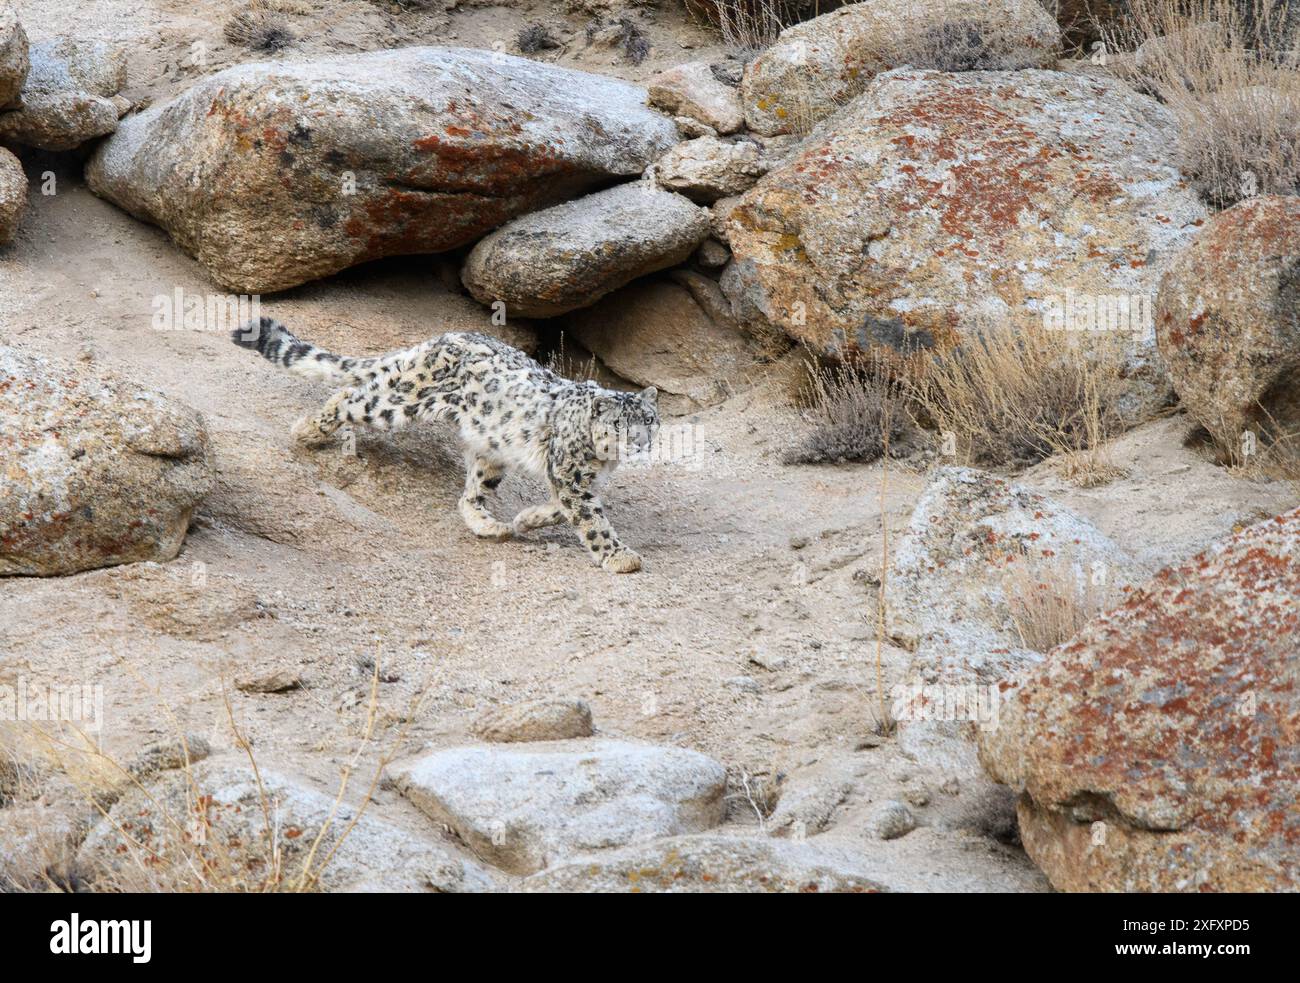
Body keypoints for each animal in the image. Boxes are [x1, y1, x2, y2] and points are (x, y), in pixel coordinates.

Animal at [231, 318, 660, 572]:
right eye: (619, 425)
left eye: (649, 421)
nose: (640, 443)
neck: (603, 462)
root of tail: (443, 337)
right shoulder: (571, 474)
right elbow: (590, 516)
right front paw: (619, 556)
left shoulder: (578, 478)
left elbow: (563, 508)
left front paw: (527, 519)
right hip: (399, 402)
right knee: (351, 396)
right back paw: (307, 430)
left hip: (491, 449)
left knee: (470, 494)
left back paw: (492, 526)